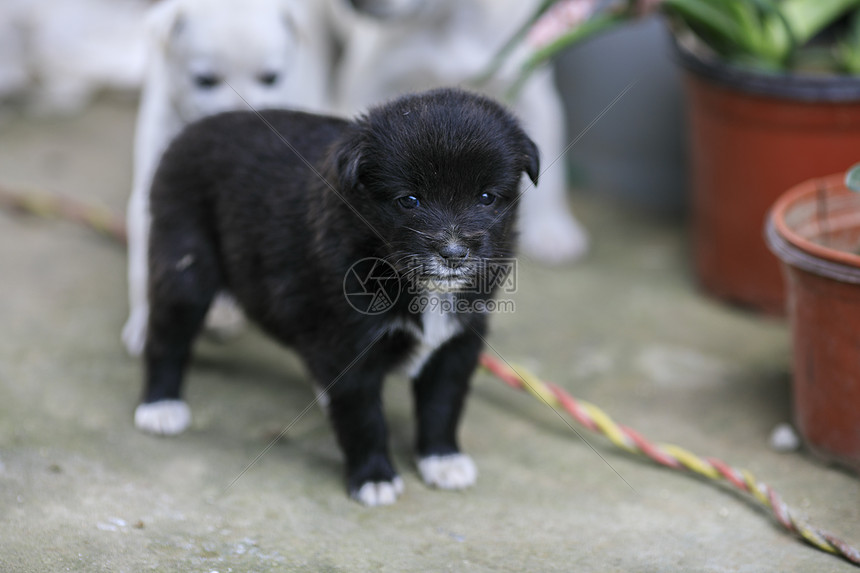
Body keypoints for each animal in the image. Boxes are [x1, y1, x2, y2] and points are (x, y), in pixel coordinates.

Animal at [136, 87, 536, 502]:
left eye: (487, 197)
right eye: (409, 200)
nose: (454, 253)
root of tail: (191, 131)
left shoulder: (457, 342)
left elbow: (443, 403)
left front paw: (442, 459)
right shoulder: (348, 347)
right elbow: (364, 417)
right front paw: (374, 478)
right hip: (185, 267)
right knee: (166, 335)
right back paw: (160, 406)